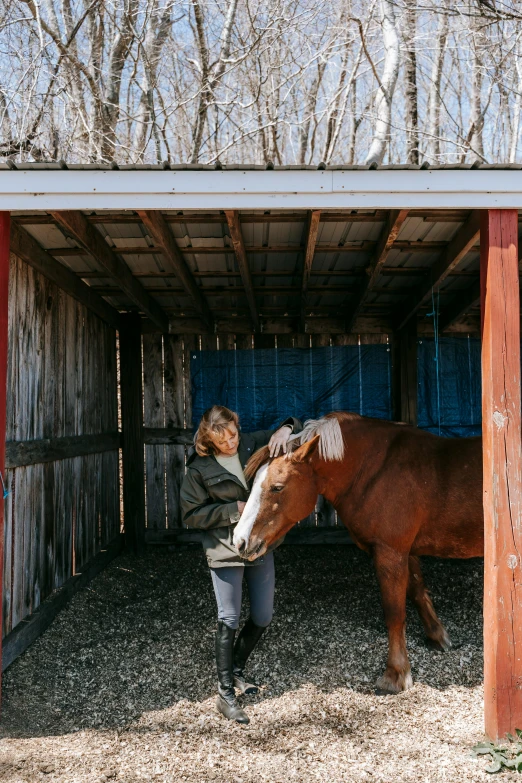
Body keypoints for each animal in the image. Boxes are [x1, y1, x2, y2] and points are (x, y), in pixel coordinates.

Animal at [232, 414, 480, 696]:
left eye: (277, 487)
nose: (240, 540)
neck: (375, 469)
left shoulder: (389, 552)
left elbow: (394, 613)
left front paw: (395, 674)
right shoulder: (404, 550)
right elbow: (417, 590)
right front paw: (438, 637)